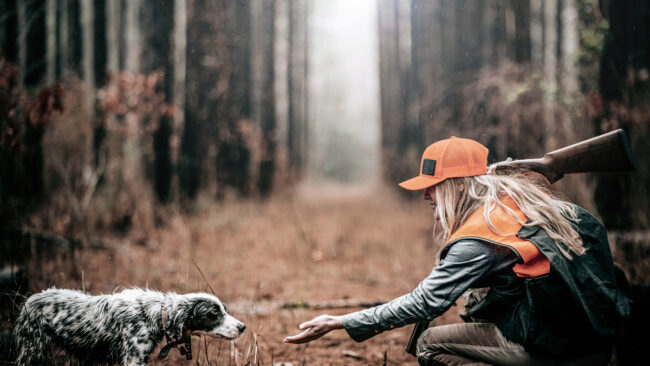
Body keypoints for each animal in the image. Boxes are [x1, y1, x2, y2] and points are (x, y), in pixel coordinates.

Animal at [15, 288, 244, 364]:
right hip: (30, 352)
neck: (156, 314)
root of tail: (29, 301)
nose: (243, 327)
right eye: (214, 314)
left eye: (224, 309)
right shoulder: (134, 359)